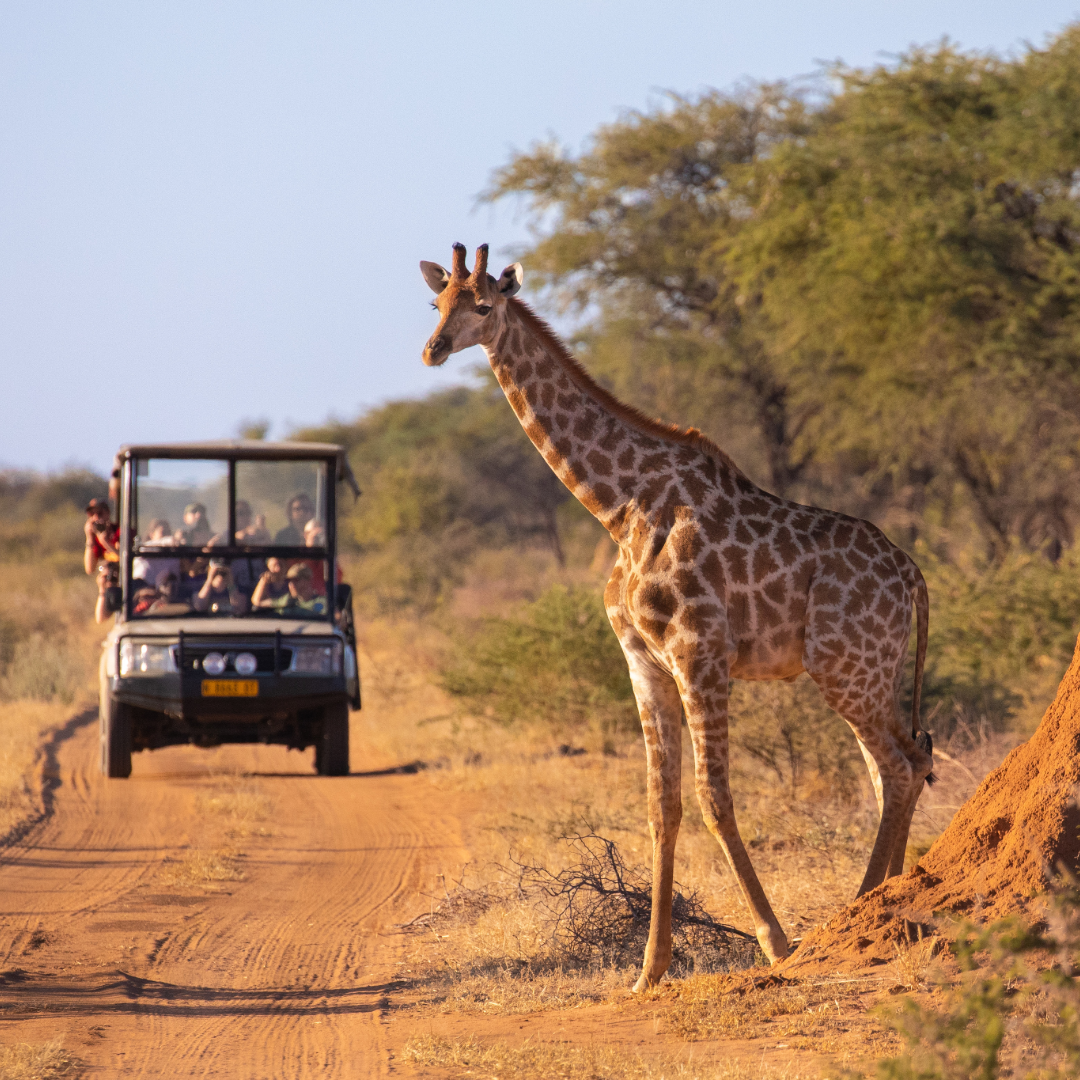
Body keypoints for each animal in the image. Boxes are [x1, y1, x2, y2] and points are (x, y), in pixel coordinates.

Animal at [416, 243, 933, 989]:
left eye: (483, 306)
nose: (432, 350)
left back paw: (859, 911)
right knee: (905, 762)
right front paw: (649, 970)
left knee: (895, 767)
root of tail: (913, 576)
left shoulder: (699, 653)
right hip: (871, 670)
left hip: (844, 668)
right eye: (436, 303)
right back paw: (884, 899)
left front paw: (776, 943)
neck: (619, 507)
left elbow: (714, 797)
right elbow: (662, 807)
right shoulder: (644, 662)